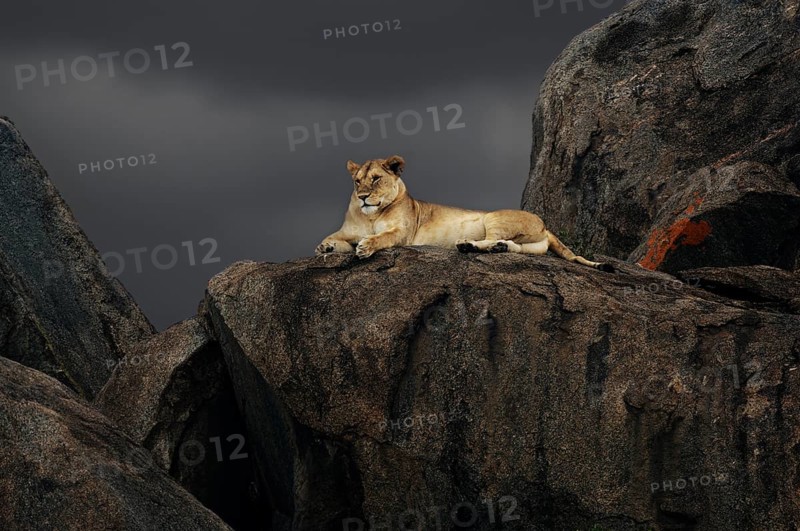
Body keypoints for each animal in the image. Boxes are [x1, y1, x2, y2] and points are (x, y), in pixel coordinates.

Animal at [315, 155, 613, 272]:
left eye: (376, 179)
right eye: (357, 182)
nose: (363, 197)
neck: (371, 216)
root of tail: (544, 224)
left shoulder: (403, 233)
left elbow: (382, 238)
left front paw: (366, 247)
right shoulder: (346, 231)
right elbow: (333, 239)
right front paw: (326, 248)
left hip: (493, 217)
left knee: (493, 238)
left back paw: (467, 245)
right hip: (531, 246)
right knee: (513, 247)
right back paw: (489, 248)